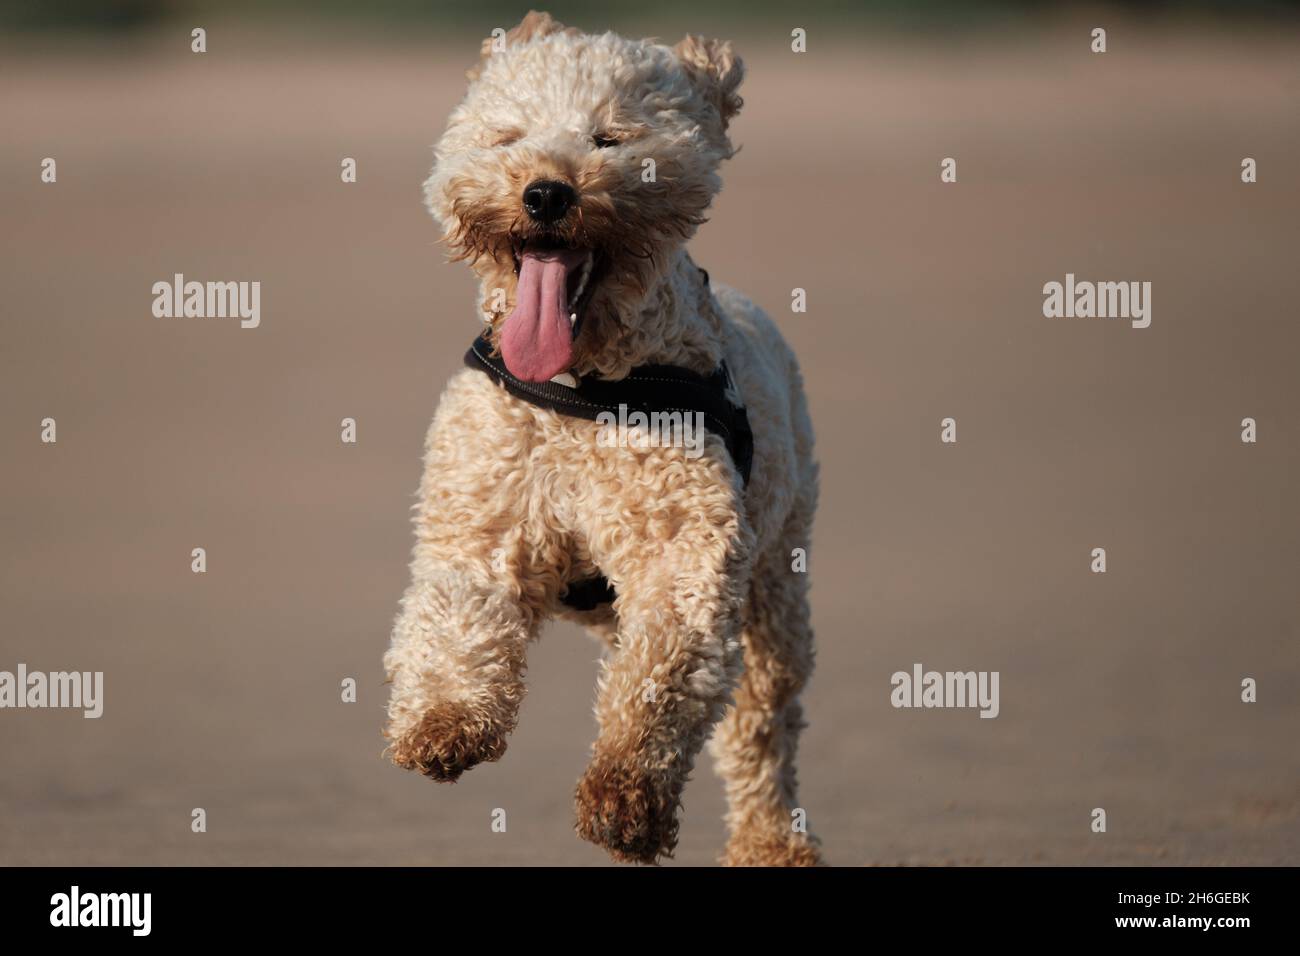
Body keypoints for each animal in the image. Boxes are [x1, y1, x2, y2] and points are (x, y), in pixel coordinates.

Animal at [379, 9, 816, 868]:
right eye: (508, 135)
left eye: (610, 138)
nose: (546, 191)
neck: (579, 390)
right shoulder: (478, 522)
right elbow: (457, 618)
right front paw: (444, 723)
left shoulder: (687, 554)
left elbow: (660, 672)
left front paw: (624, 795)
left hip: (779, 578)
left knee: (763, 722)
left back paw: (771, 841)